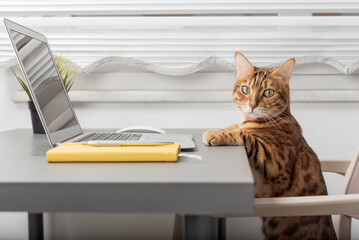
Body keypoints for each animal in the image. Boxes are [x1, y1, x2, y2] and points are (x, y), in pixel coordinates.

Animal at [204, 53, 338, 240]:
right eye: (245, 89)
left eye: (268, 93)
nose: (252, 105)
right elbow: (236, 127)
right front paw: (221, 129)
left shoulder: (276, 163)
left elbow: (244, 135)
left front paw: (216, 135)